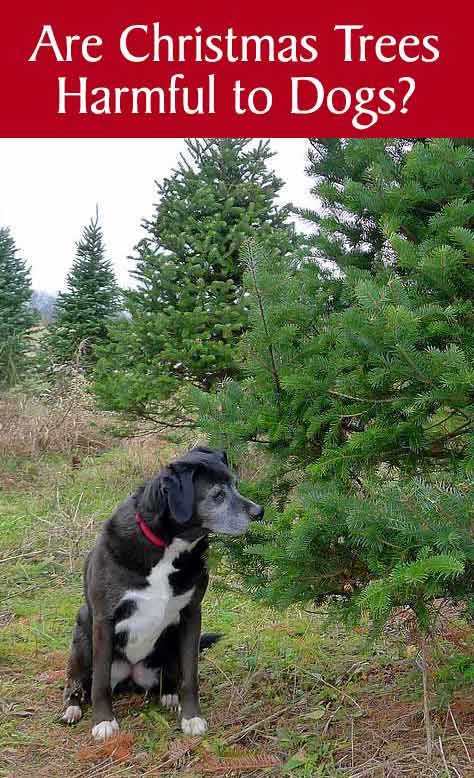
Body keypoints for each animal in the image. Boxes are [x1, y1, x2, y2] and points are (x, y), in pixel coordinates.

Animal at [61, 446, 262, 736]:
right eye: (217, 495)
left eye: (235, 484)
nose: (260, 512)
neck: (168, 547)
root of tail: (130, 677)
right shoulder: (104, 619)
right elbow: (99, 682)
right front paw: (103, 721)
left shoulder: (191, 615)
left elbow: (190, 676)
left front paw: (191, 717)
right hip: (82, 633)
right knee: (78, 682)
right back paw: (73, 707)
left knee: (170, 677)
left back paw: (169, 694)